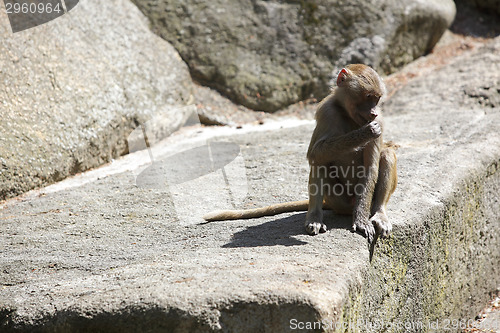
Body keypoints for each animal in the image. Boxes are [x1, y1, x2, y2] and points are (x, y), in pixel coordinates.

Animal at [202, 64, 394, 241]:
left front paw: (361, 221)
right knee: (320, 161)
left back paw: (379, 214)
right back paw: (314, 219)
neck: (347, 114)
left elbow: (370, 168)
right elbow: (315, 153)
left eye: (377, 99)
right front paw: (365, 133)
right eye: (368, 97)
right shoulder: (327, 111)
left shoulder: (380, 121)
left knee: (387, 155)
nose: (373, 113)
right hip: (338, 200)